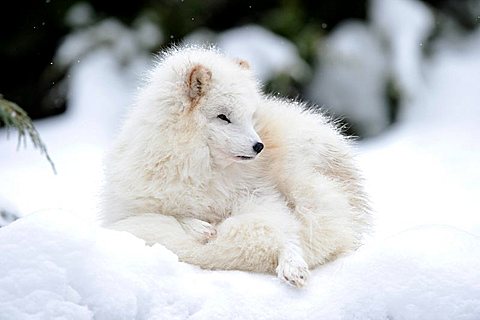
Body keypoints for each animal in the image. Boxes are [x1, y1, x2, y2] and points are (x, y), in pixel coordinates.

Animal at [100, 45, 372, 288]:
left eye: (250, 117)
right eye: (224, 117)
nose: (259, 146)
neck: (203, 169)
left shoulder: (262, 196)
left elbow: (286, 234)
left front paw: (292, 265)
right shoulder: (128, 207)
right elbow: (172, 214)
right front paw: (199, 227)